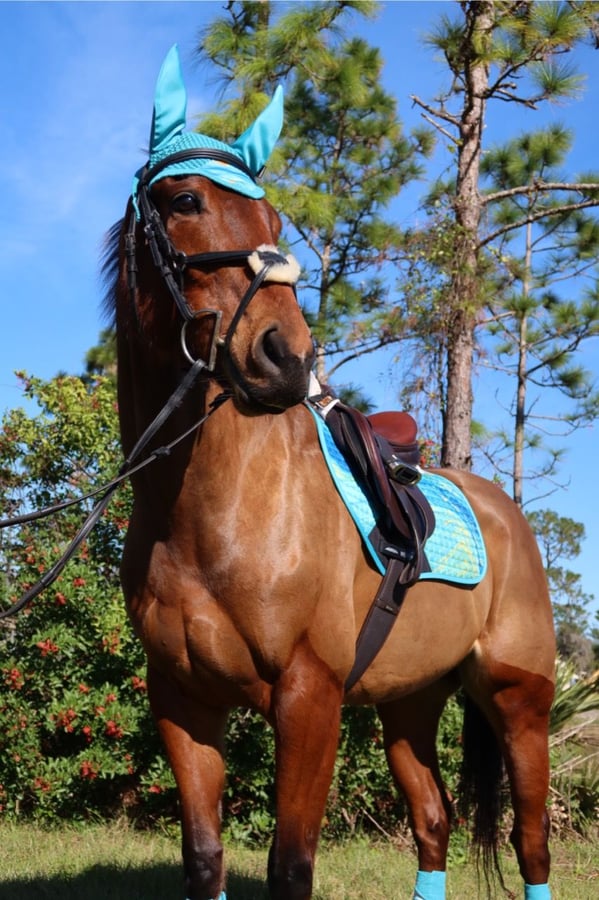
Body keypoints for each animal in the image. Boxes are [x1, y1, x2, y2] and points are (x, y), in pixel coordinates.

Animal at [105, 47, 556, 900]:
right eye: (184, 199)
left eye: (276, 224)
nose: (286, 358)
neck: (220, 512)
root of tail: (505, 514)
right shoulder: (182, 703)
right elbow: (205, 857)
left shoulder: (308, 698)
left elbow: (291, 867)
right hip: (409, 704)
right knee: (433, 824)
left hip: (520, 702)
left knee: (531, 844)